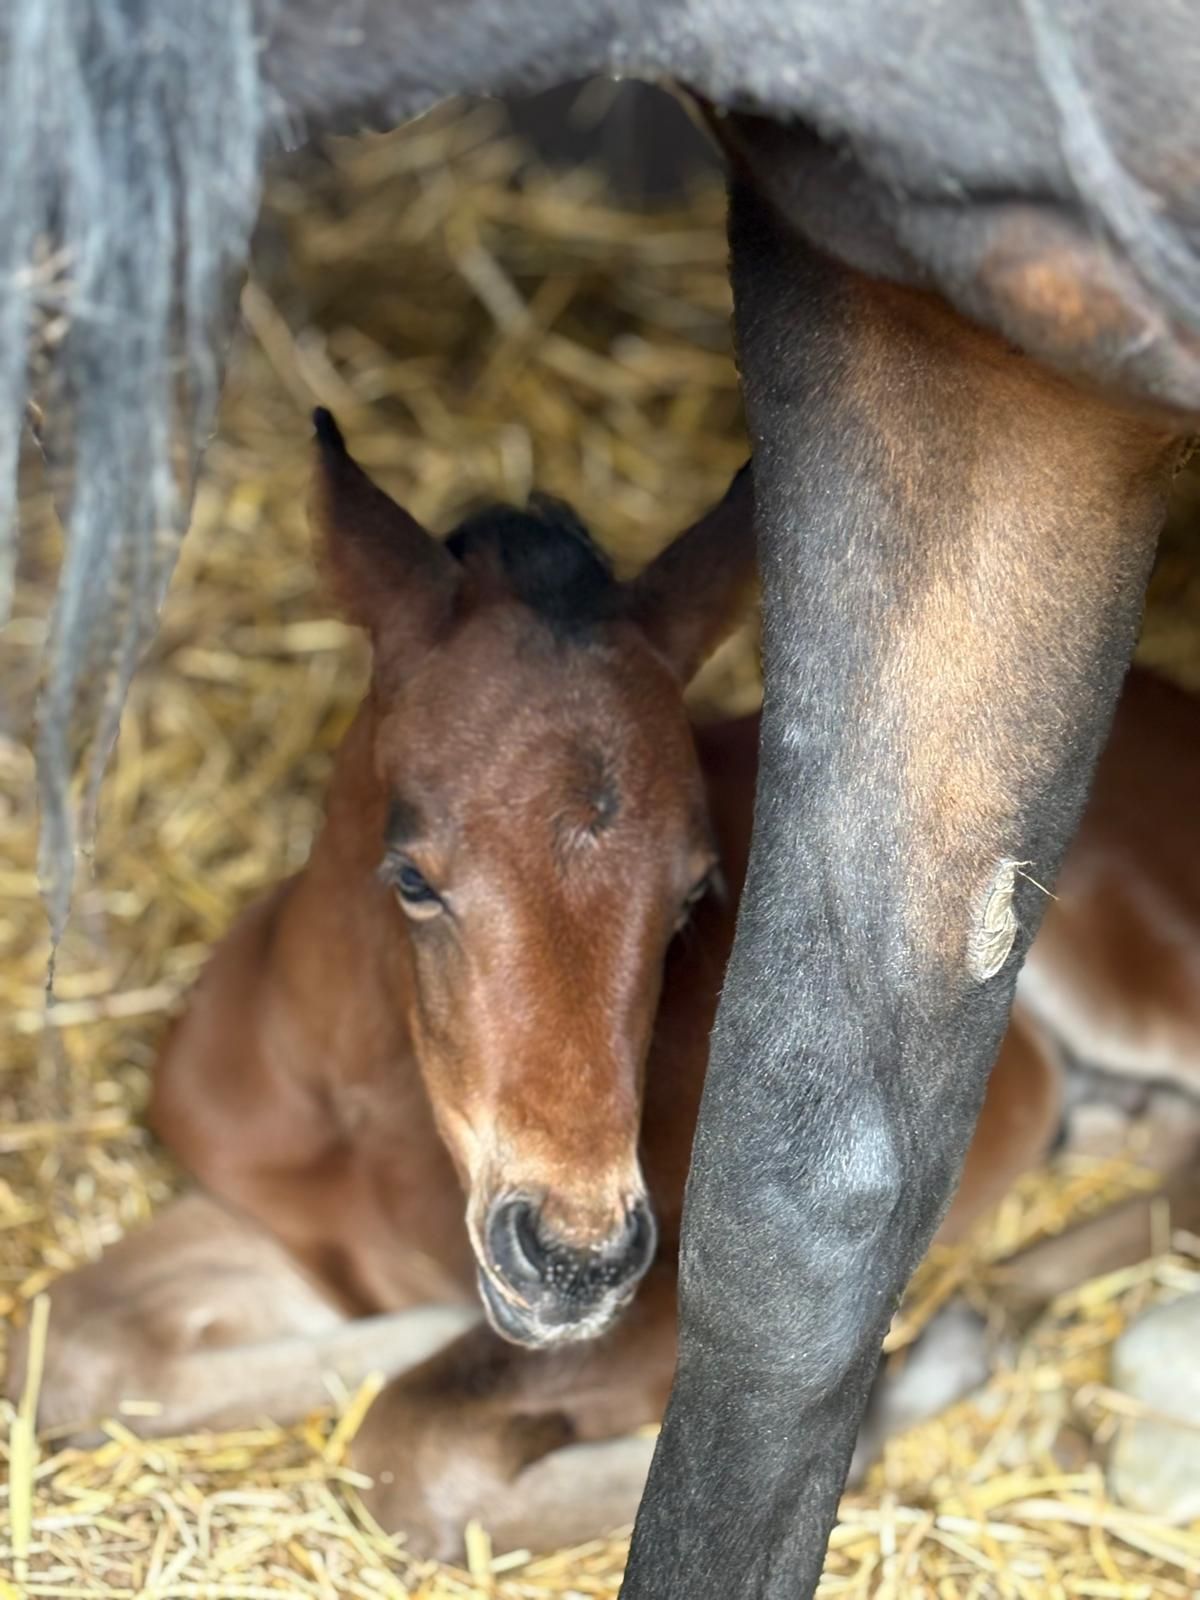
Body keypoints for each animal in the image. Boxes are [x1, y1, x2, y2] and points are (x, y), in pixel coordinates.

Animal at [6, 5, 1200, 1593]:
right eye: (412, 874)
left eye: (698, 894)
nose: (569, 1254)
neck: (369, 1108)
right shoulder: (264, 1217)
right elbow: (72, 1340)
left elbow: (421, 1449)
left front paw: (889, 1390)